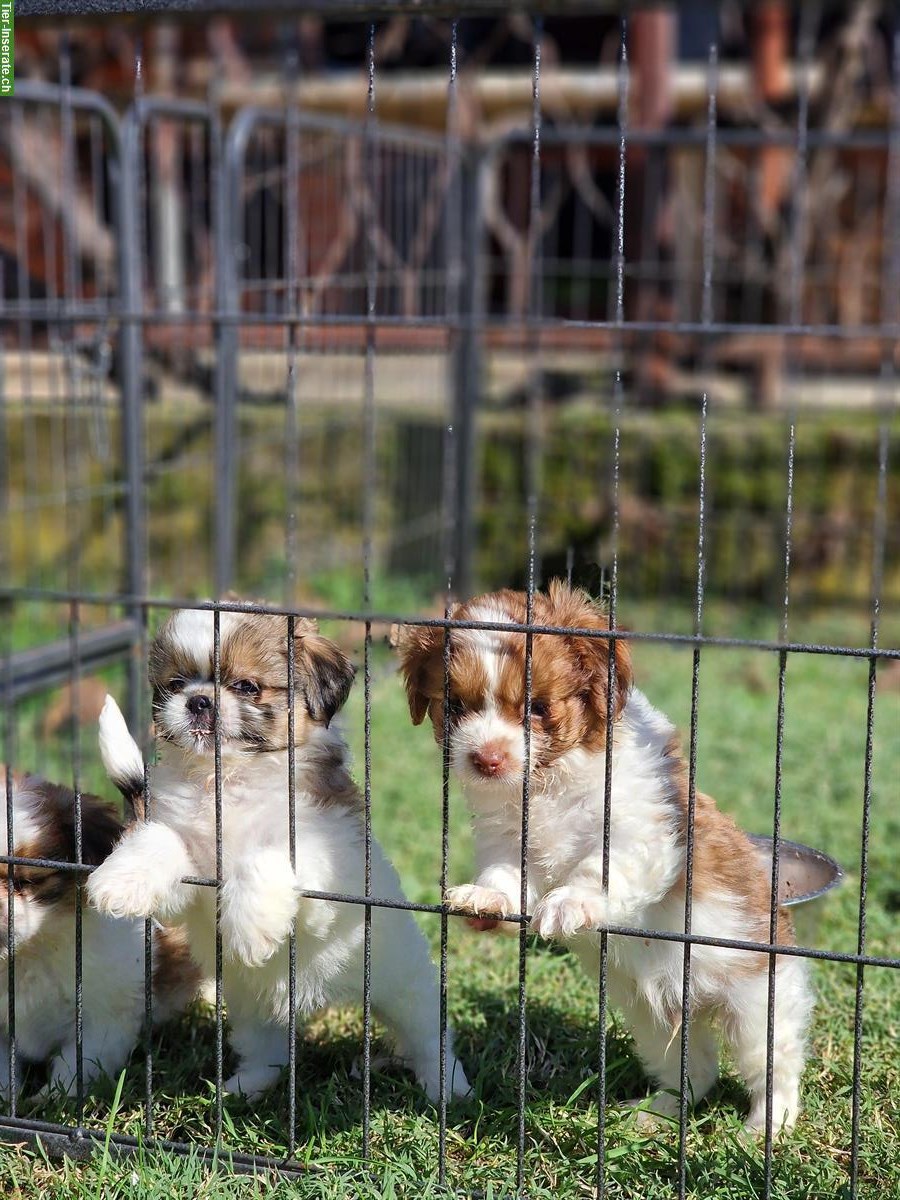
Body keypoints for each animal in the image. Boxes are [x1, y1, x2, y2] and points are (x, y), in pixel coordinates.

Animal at [88, 614, 472, 1099]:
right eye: (175, 683)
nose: (198, 701)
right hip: (247, 1005)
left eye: (246, 686)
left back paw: (448, 1086)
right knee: (265, 1047)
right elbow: (163, 843)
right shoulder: (190, 879)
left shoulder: (326, 853)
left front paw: (250, 925)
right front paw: (120, 880)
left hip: (405, 986)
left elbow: (267, 857)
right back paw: (246, 1086)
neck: (229, 779)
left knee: (427, 1035)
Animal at [398, 585, 816, 1137]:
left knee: (774, 1066)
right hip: (652, 1021)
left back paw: (767, 1127)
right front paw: (485, 900)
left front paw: (570, 903)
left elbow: (598, 867)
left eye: (537, 707)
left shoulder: (640, 829)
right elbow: (507, 875)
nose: (487, 759)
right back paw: (655, 1115)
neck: (550, 779)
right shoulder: (506, 838)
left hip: (757, 1003)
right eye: (455, 706)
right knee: (694, 1074)